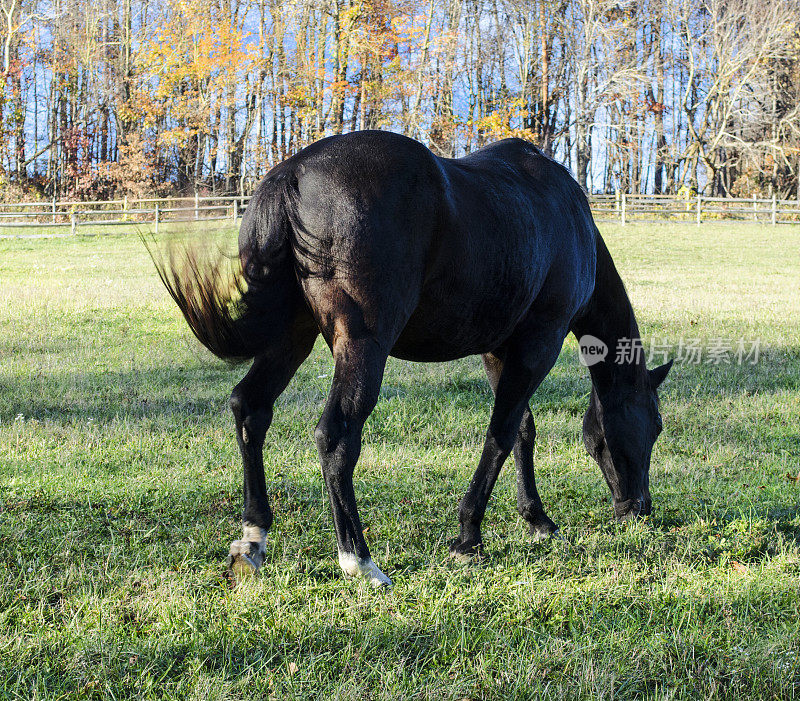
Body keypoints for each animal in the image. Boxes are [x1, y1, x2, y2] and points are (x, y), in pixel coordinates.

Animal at [148, 130, 668, 584]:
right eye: (656, 425)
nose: (639, 508)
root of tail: (291, 175)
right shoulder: (539, 343)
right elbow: (501, 435)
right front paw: (469, 536)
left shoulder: (500, 350)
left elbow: (522, 429)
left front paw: (536, 519)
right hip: (361, 346)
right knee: (335, 435)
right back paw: (359, 560)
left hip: (291, 335)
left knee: (250, 409)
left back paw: (253, 539)